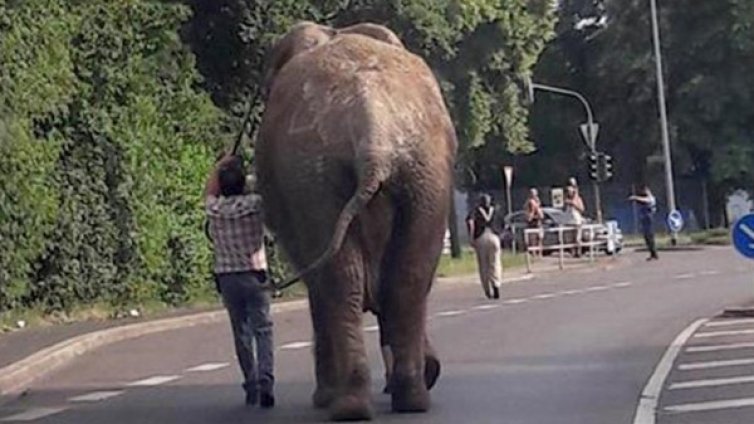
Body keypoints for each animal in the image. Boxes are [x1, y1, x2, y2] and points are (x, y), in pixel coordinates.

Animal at [256, 22, 456, 420]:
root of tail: (372, 130)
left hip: (314, 175)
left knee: (341, 281)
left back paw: (349, 404)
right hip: (423, 172)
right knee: (408, 277)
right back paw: (407, 398)